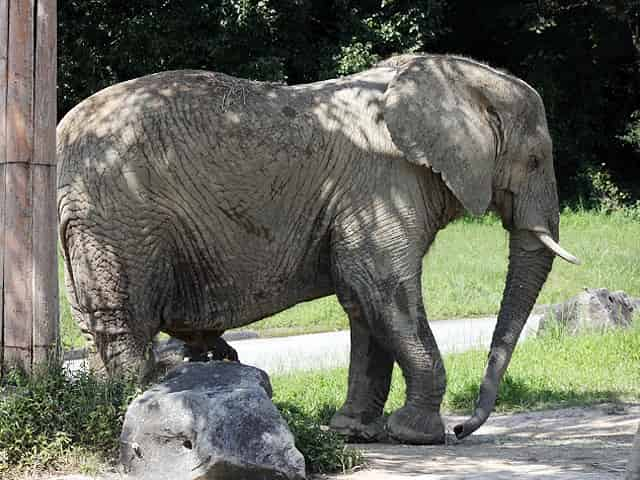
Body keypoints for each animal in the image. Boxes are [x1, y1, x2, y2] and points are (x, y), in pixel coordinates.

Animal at [58, 54, 580, 444]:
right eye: (536, 159)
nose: (462, 428)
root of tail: (63, 138)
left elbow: (362, 300)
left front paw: (355, 432)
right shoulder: (382, 183)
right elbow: (383, 286)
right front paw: (418, 435)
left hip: (90, 222)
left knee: (99, 327)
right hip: (119, 218)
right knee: (125, 326)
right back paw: (132, 406)